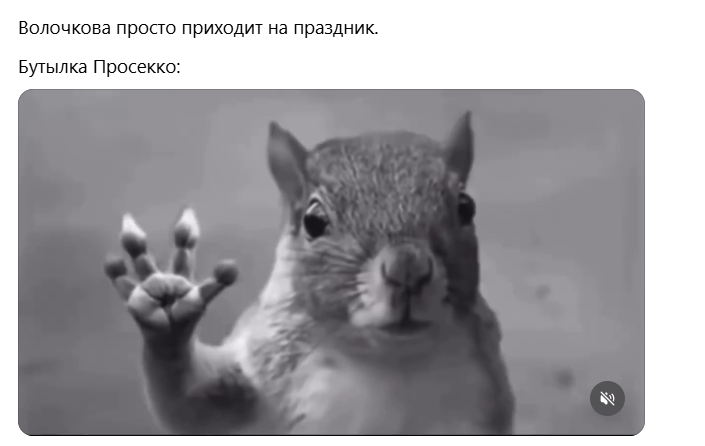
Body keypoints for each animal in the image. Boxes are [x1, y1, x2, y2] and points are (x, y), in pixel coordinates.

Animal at [103, 111, 516, 435]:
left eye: (466, 207)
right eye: (313, 221)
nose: (408, 268)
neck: (391, 361)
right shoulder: (258, 379)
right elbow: (193, 404)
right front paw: (169, 308)